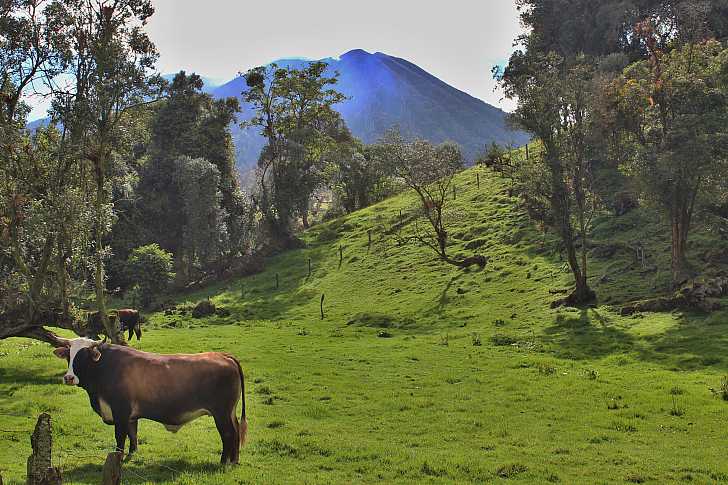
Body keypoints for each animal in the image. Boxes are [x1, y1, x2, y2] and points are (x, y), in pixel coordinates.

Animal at [52, 338, 249, 464]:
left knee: (228, 434)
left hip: (221, 413)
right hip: (229, 412)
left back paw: (223, 462)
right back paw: (235, 460)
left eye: (84, 356)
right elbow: (133, 434)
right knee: (236, 431)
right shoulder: (130, 415)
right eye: (69, 355)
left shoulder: (120, 412)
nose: (69, 378)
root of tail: (223, 356)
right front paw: (132, 454)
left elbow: (120, 437)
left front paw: (118, 458)